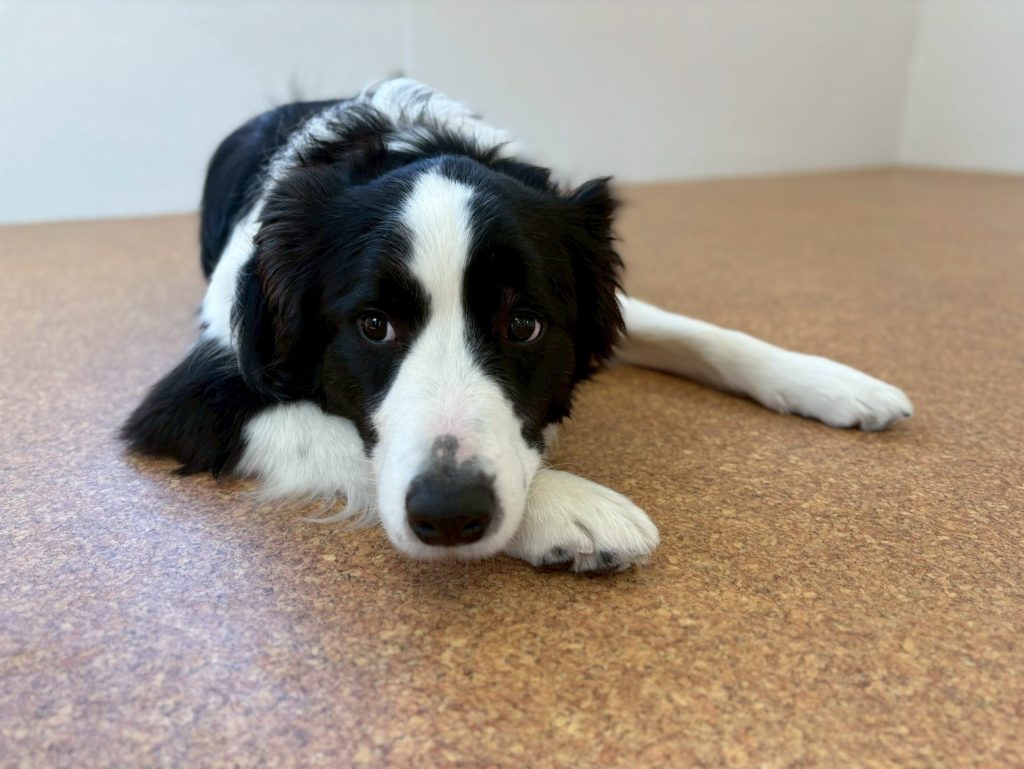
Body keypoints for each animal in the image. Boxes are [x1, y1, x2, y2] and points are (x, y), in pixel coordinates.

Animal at [123, 78, 913, 573]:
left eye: (524, 324)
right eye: (374, 325)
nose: (448, 513)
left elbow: (697, 332)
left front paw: (831, 381)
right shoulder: (194, 393)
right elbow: (348, 438)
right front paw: (570, 507)